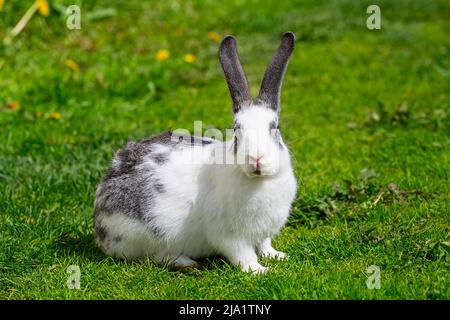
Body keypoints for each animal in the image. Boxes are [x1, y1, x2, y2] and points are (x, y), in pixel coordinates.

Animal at [93, 31, 298, 274]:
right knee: (156, 256)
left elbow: (265, 245)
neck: (259, 181)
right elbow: (243, 255)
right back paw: (186, 262)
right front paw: (260, 271)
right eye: (237, 130)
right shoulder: (228, 235)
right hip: (143, 235)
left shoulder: (264, 232)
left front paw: (278, 256)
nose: (256, 158)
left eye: (275, 128)